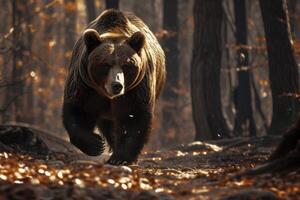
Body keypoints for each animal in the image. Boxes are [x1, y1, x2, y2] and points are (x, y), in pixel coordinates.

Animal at [62, 9, 165, 165]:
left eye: (127, 65)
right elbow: (77, 110)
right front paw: (96, 145)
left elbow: (133, 117)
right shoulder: (85, 85)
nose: (117, 85)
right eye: (105, 64)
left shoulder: (135, 89)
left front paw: (120, 158)